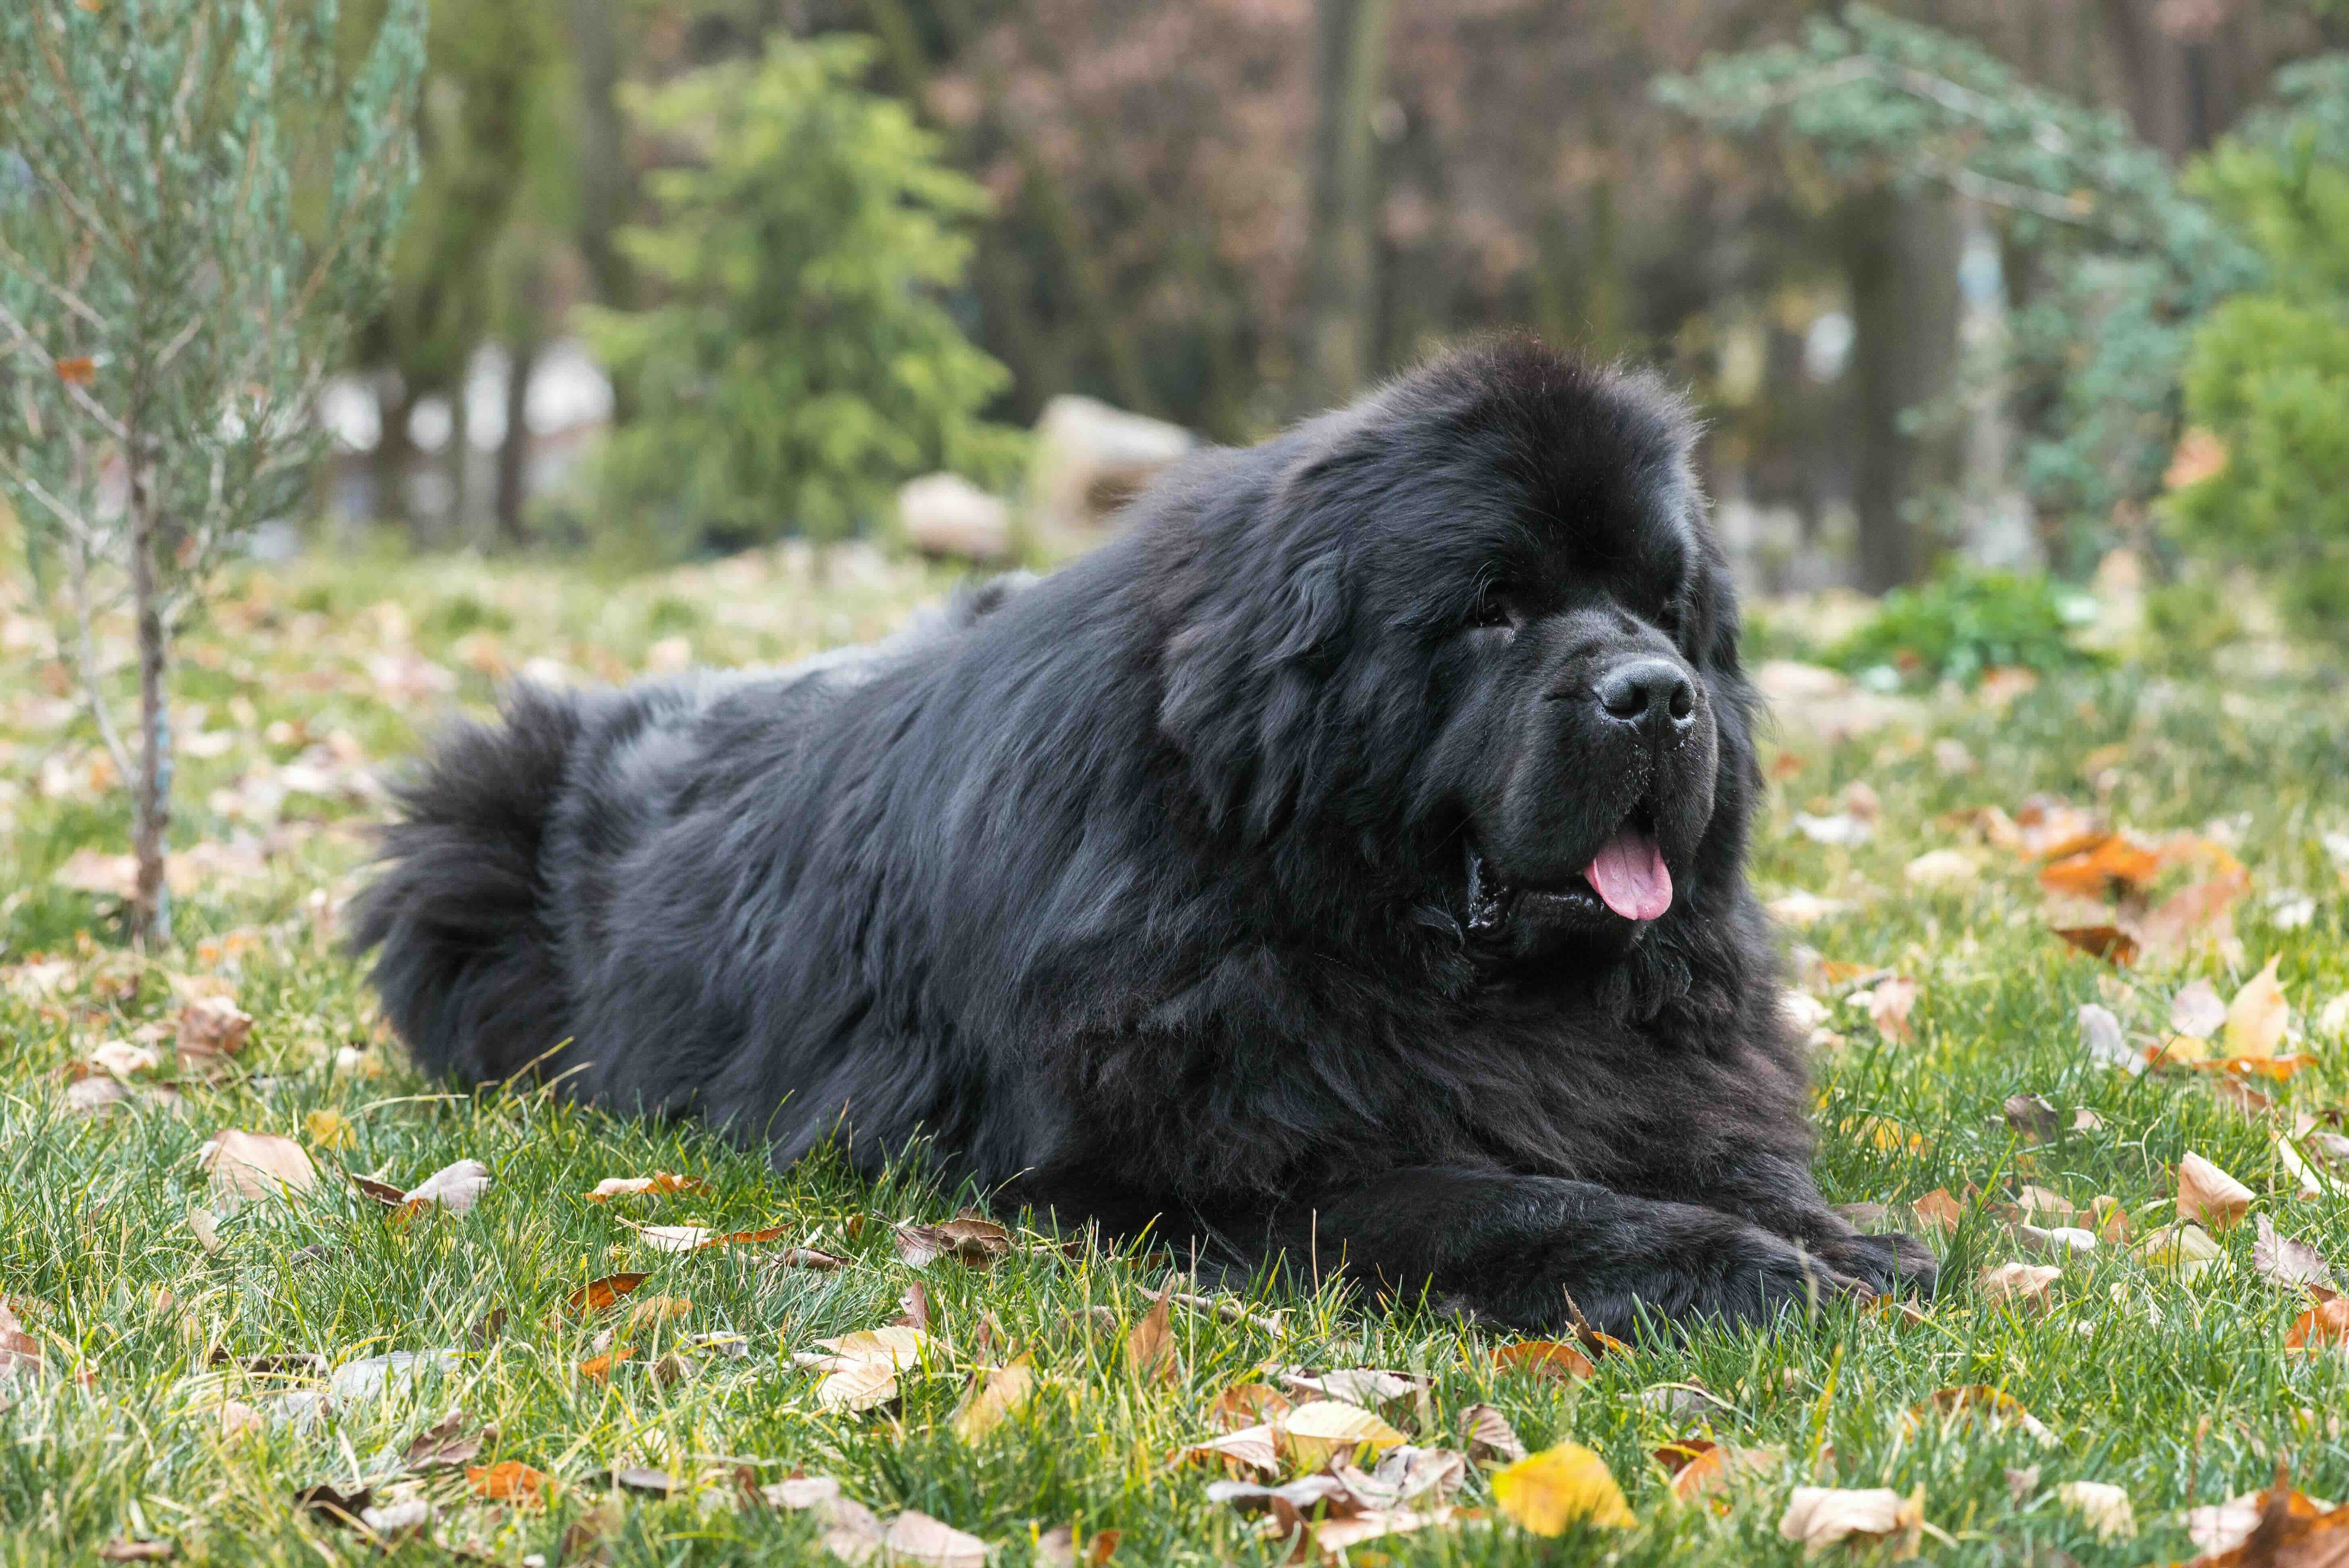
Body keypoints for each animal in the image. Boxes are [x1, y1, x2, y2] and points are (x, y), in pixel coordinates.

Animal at [357, 342, 1936, 1333]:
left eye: (1669, 609)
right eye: (1496, 607)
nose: (1656, 694)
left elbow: (1714, 1146)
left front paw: (1841, 1234)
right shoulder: (1210, 1163)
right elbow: (1503, 1197)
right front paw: (1738, 1268)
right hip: (462, 834)